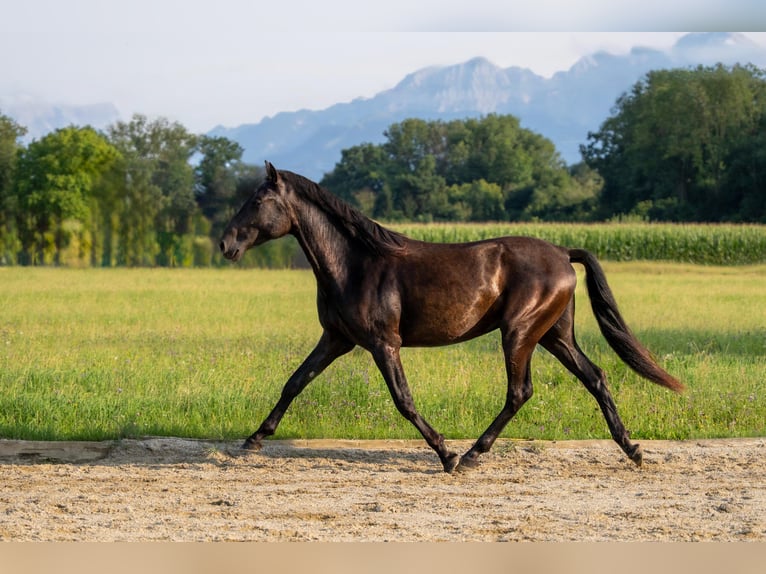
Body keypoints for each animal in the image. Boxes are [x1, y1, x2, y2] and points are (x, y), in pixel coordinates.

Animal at [220, 161, 684, 473]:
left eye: (259, 201)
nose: (226, 244)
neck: (355, 264)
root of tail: (561, 253)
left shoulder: (383, 343)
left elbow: (403, 400)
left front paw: (447, 453)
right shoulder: (336, 338)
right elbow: (295, 382)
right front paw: (254, 438)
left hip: (520, 333)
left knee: (520, 391)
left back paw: (474, 454)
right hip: (555, 336)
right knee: (595, 377)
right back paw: (633, 449)